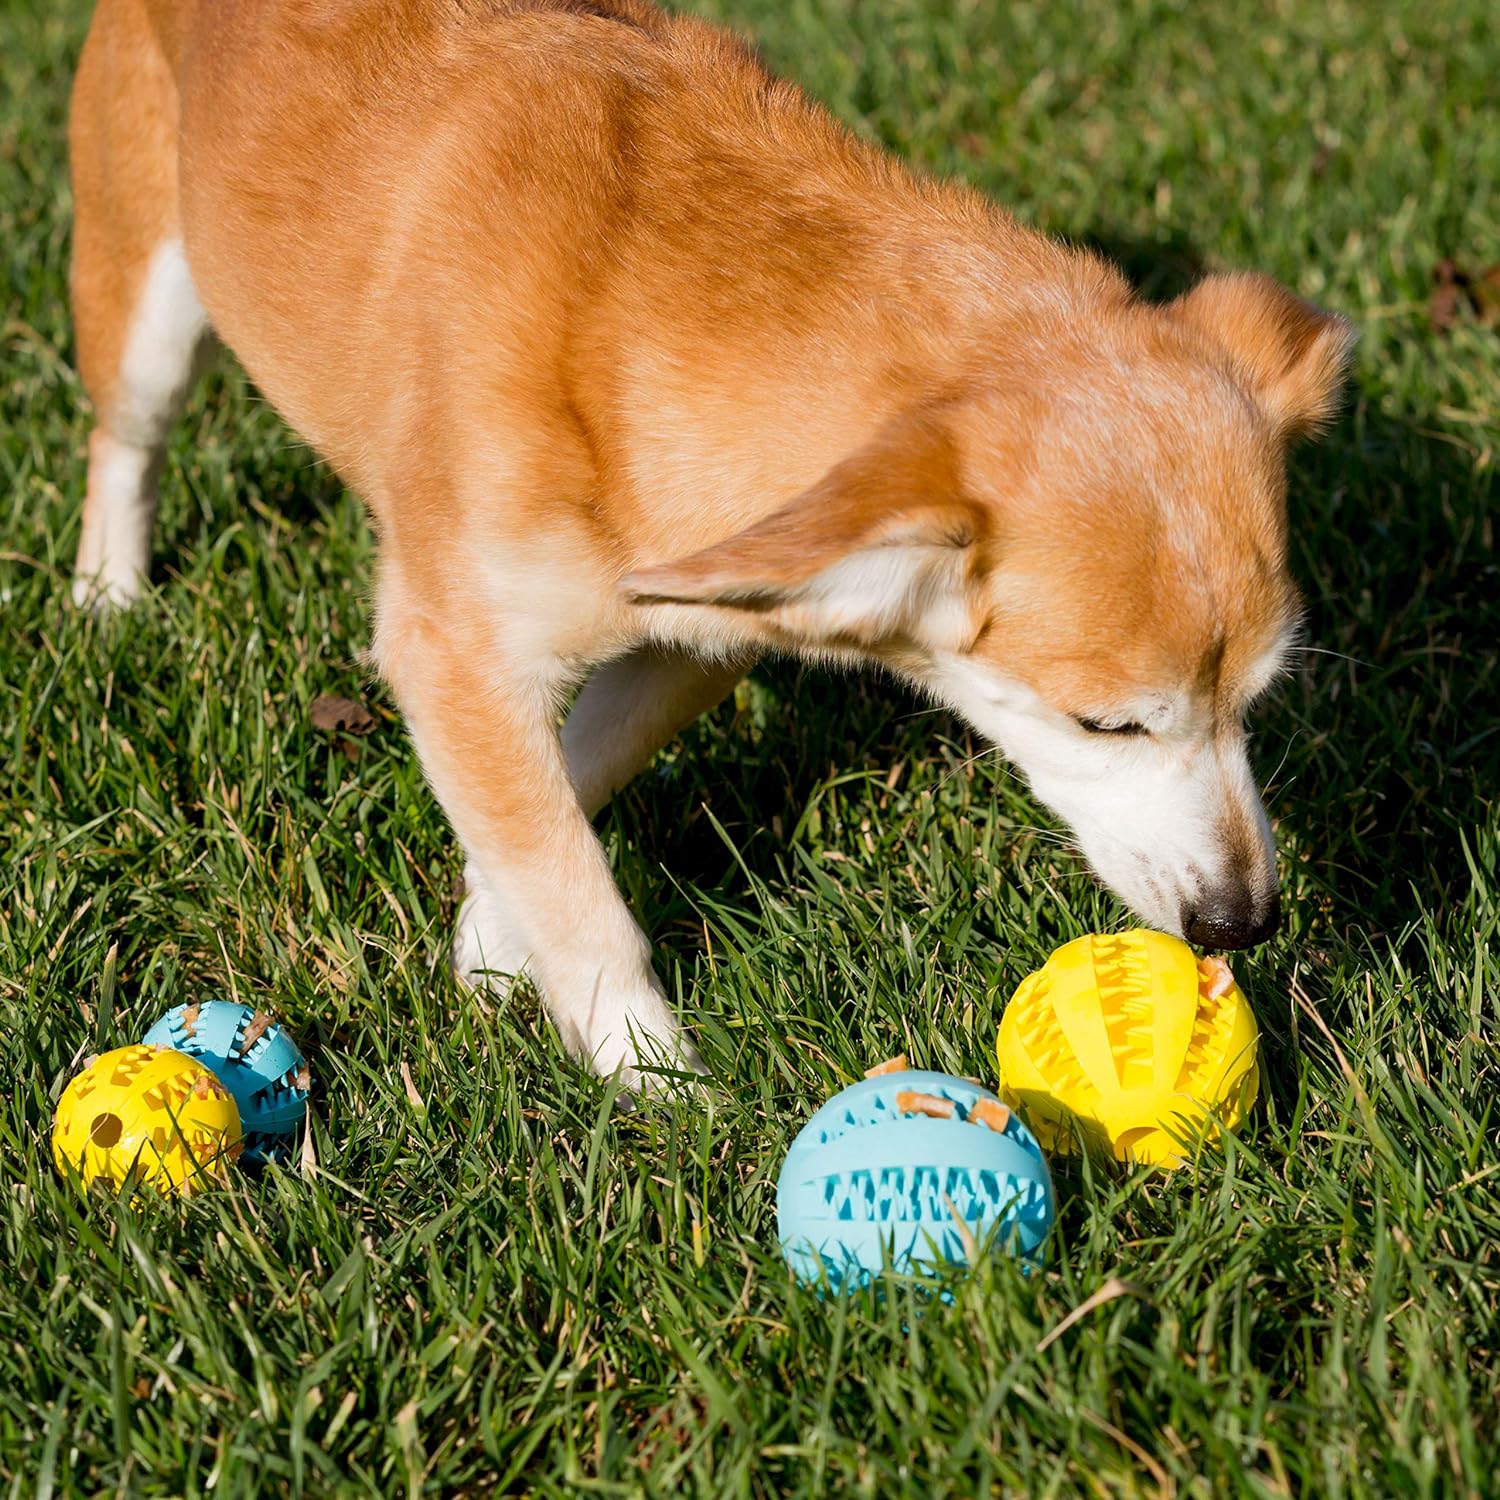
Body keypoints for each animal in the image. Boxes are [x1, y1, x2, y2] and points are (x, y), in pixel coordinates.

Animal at [64, 0, 1356, 1086]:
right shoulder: (450, 648)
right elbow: (576, 885)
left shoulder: (693, 637)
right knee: (122, 443)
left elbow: (563, 792)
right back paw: (107, 595)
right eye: (1108, 725)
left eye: (1258, 702)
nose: (1242, 921)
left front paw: (492, 939)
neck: (632, 308)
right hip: (146, 308)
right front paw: (652, 1079)